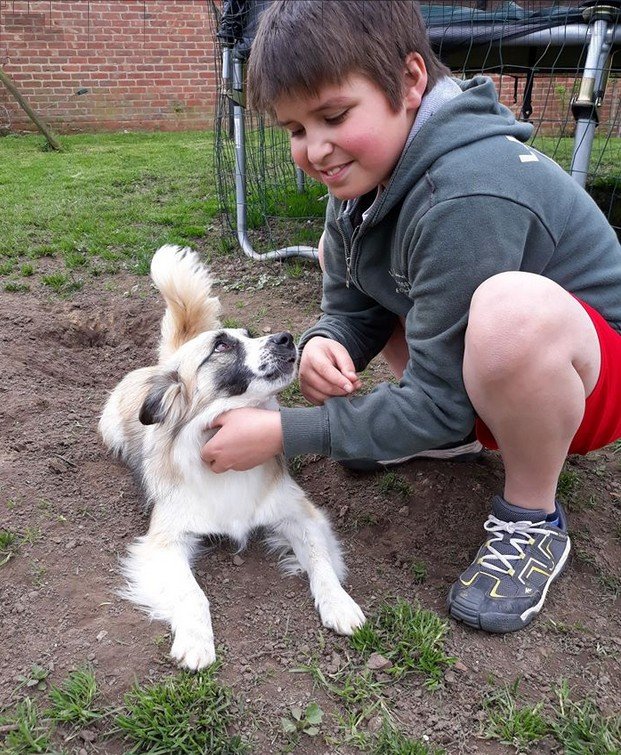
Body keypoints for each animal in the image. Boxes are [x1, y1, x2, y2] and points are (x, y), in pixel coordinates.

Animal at [97, 245, 364, 672]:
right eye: (221, 347)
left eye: (251, 336)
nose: (287, 338)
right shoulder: (164, 541)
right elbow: (193, 594)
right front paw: (196, 641)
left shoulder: (303, 515)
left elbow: (321, 561)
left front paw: (339, 603)